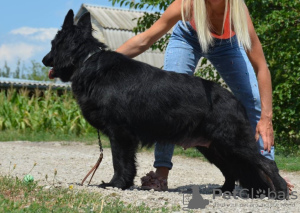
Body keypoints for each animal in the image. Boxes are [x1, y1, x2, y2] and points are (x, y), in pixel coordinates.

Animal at [42, 9, 288, 200]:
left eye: (54, 44)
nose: (44, 60)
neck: (89, 62)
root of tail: (234, 100)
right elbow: (127, 163)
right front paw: (124, 183)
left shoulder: (119, 134)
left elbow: (119, 162)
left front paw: (116, 184)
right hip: (216, 149)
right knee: (232, 172)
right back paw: (226, 191)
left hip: (234, 144)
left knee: (266, 165)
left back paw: (281, 191)